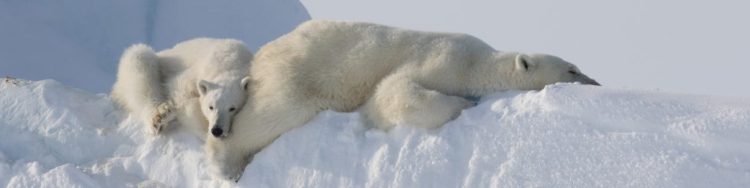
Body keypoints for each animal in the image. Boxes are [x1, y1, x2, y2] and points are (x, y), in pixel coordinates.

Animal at [111, 38, 253, 138]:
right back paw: (159, 117)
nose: (217, 130)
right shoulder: (194, 73)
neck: (229, 64)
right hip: (155, 61)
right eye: (211, 107)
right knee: (140, 63)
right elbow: (179, 91)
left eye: (232, 108)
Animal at [204, 19, 600, 180]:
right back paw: (226, 162)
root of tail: (264, 53)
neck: (476, 63)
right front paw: (464, 105)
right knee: (275, 111)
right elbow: (392, 92)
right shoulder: (441, 59)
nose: (595, 82)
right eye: (572, 69)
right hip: (299, 74)